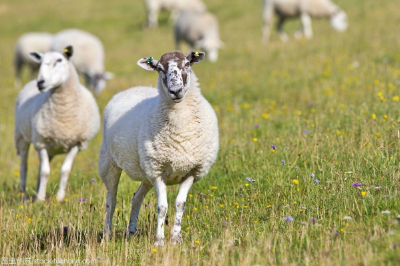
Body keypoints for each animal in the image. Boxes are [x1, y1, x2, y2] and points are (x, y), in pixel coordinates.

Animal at [14, 46, 101, 202]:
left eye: (59, 60)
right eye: (40, 62)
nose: (40, 82)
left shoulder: (76, 143)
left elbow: (64, 171)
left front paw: (59, 197)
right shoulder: (41, 142)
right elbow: (45, 172)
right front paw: (40, 199)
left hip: (50, 150)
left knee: (40, 167)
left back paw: (36, 190)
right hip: (21, 137)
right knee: (24, 166)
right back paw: (23, 193)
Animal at [99, 49, 219, 245]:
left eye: (187, 64)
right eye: (160, 69)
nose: (176, 91)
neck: (180, 128)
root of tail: (132, 89)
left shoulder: (192, 171)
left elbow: (180, 205)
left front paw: (176, 239)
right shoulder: (158, 171)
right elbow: (162, 207)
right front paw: (159, 241)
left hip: (145, 172)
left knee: (136, 198)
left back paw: (131, 232)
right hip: (109, 162)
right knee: (111, 200)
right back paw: (107, 235)